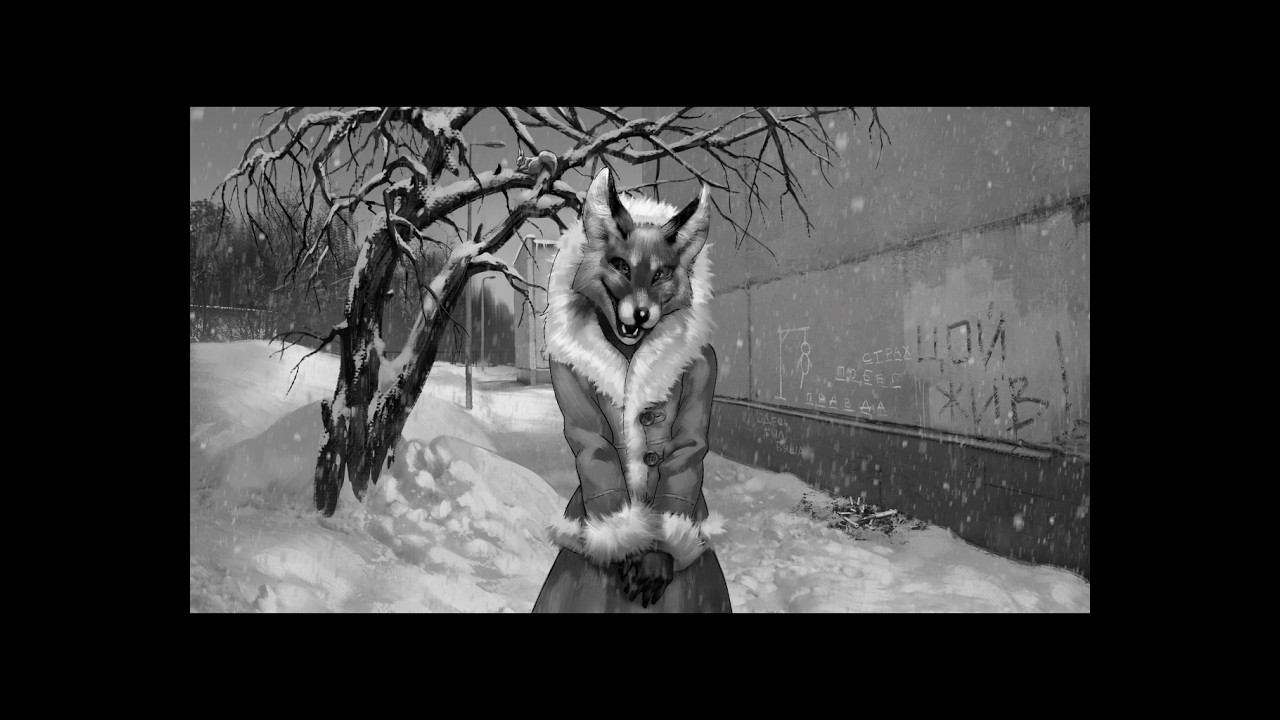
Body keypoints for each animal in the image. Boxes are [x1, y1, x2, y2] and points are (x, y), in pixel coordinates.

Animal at [533, 167, 732, 613]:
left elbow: (688, 450)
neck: (630, 354)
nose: (640, 314)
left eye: (660, 273)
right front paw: (630, 546)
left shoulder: (705, 366)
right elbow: (595, 448)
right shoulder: (568, 384)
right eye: (621, 265)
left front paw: (655, 559)